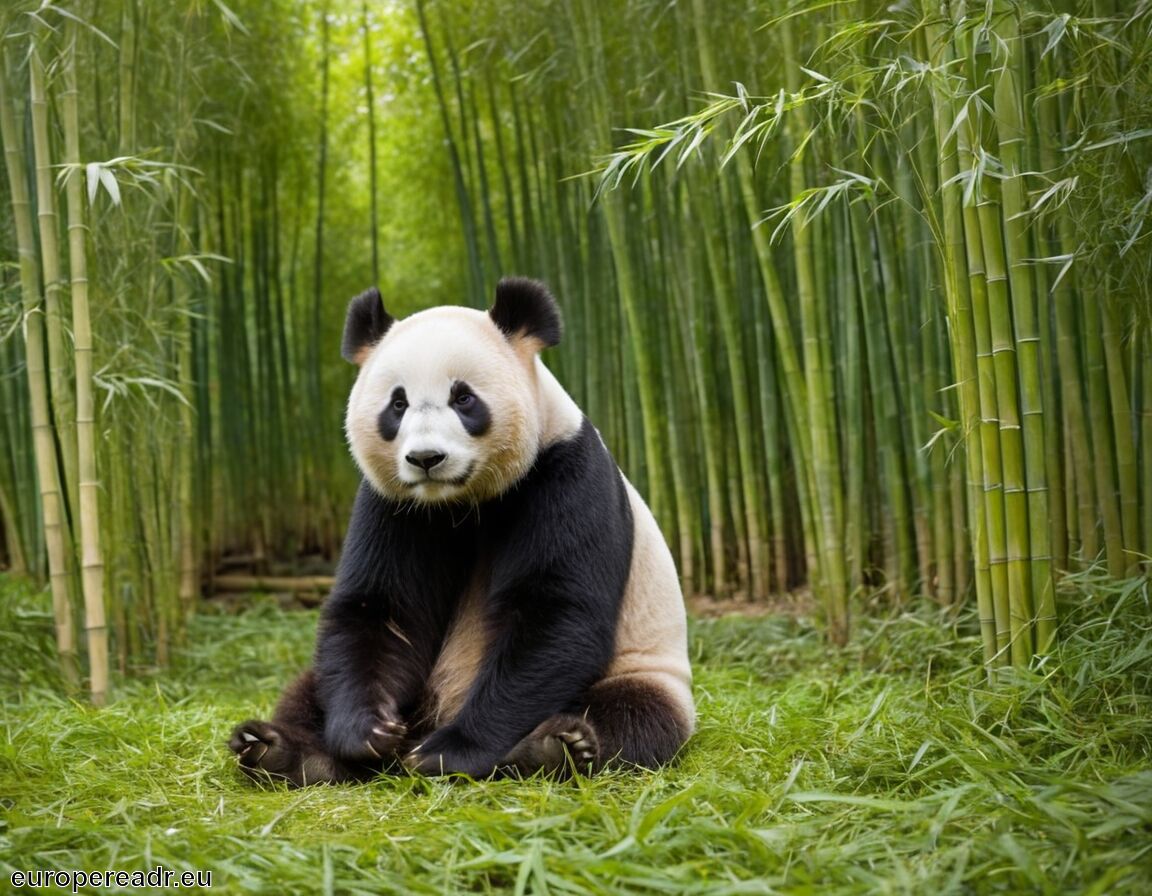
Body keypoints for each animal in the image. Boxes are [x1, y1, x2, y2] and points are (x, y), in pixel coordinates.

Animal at [228, 277, 694, 785]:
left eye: (463, 398)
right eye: (397, 403)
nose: (425, 458)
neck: (460, 503)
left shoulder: (566, 471)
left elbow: (554, 614)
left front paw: (449, 752)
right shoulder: (394, 504)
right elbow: (383, 607)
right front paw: (368, 731)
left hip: (648, 670)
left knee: (633, 715)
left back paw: (557, 746)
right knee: (309, 690)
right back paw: (278, 750)